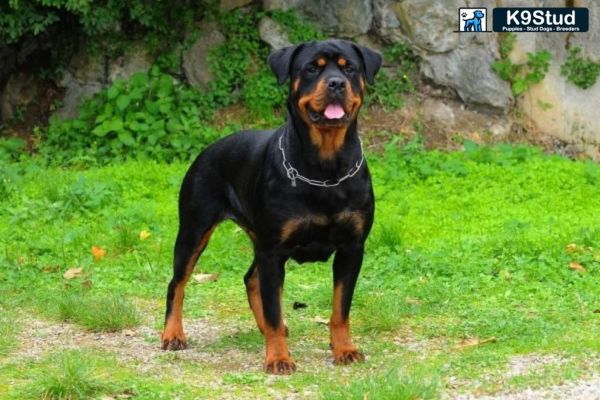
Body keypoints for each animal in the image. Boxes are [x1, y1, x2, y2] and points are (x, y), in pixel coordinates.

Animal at [162, 39, 382, 374]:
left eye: (350, 69)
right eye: (312, 68)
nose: (336, 83)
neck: (325, 169)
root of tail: (206, 150)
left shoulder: (351, 248)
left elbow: (340, 309)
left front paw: (344, 349)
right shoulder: (273, 251)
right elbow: (275, 310)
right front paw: (278, 358)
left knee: (251, 279)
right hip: (194, 230)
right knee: (178, 283)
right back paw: (173, 334)